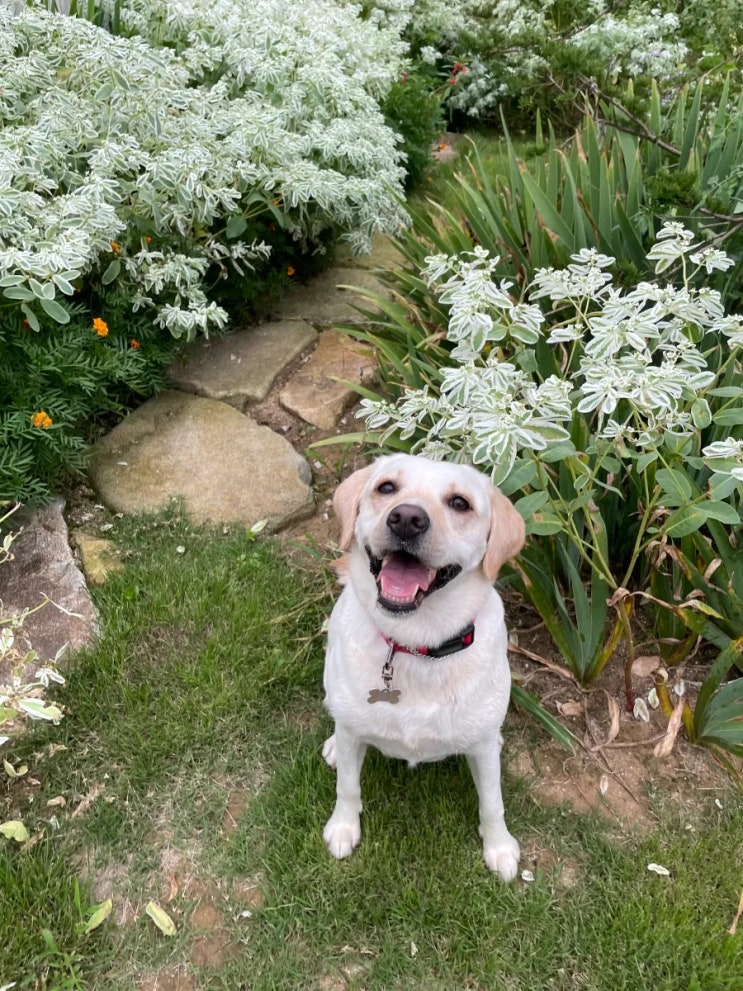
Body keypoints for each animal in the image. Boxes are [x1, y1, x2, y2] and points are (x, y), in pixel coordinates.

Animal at [322, 454, 528, 880]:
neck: (415, 645)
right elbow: (347, 786)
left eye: (460, 503)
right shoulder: (353, 734)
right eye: (386, 487)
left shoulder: (483, 753)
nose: (406, 518)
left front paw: (499, 847)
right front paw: (343, 828)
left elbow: (493, 802)